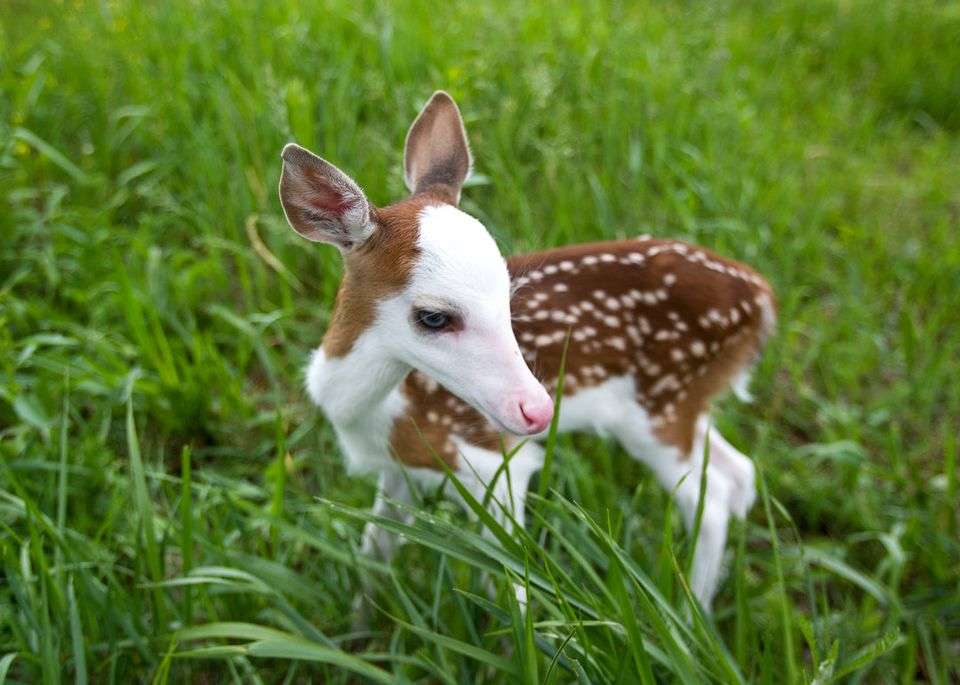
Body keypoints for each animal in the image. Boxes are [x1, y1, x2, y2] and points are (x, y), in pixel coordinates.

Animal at [278, 89, 772, 608]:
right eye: (433, 316)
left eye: (507, 294)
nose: (538, 410)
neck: (376, 413)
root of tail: (762, 299)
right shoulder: (400, 470)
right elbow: (374, 554)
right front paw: (362, 619)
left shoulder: (497, 464)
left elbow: (514, 587)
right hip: (686, 404)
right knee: (738, 473)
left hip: (659, 409)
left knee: (712, 497)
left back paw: (690, 609)